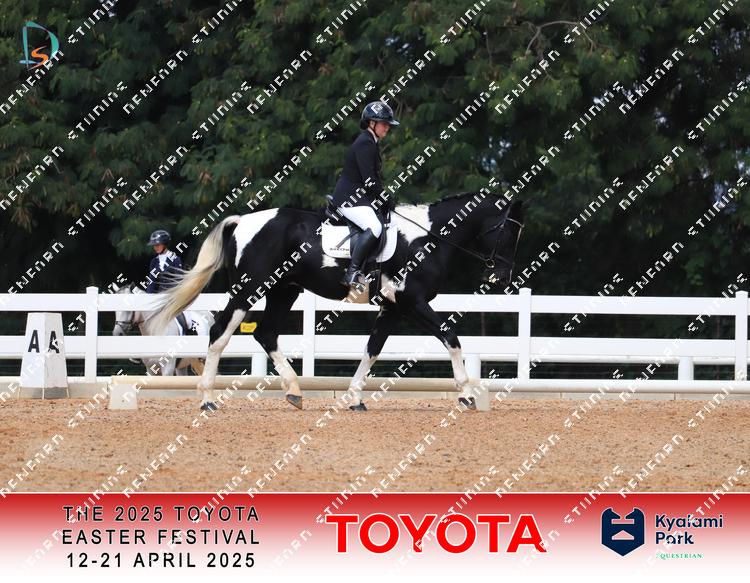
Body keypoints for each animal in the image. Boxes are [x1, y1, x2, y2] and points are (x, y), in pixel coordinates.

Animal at [152, 192, 524, 410]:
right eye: (508, 231)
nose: (503, 277)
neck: (426, 238)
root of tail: (243, 220)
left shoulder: (393, 307)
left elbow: (372, 349)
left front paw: (355, 397)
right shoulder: (412, 302)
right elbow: (451, 338)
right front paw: (465, 394)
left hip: (283, 289)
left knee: (266, 334)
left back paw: (294, 391)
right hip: (249, 288)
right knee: (220, 333)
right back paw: (208, 399)